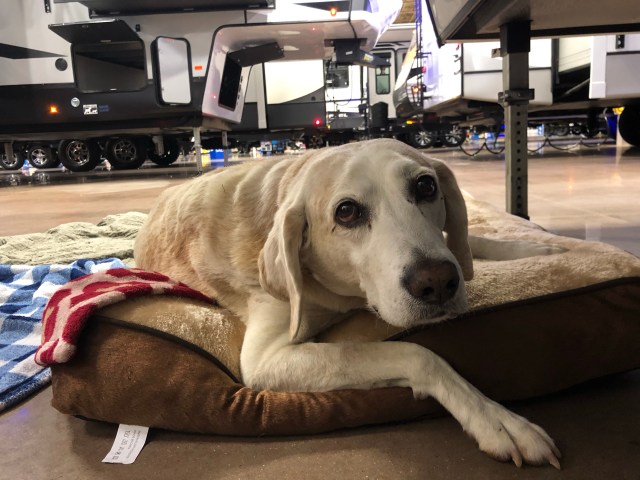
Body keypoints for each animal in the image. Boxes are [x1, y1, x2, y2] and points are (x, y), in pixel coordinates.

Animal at [134, 138, 561, 468]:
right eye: (347, 212)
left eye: (426, 186)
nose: (438, 283)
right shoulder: (264, 361)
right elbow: (419, 355)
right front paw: (496, 419)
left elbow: (468, 244)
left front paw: (532, 248)